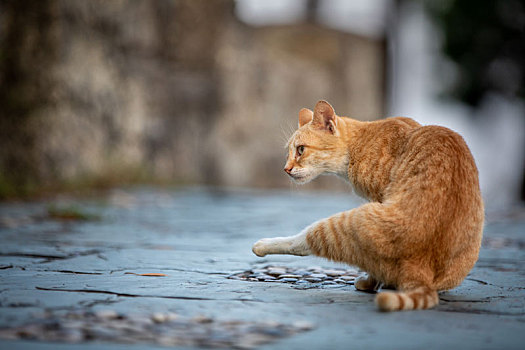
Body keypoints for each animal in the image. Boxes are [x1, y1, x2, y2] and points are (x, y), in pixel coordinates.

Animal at [252, 100, 486, 312]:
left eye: (300, 150)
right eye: (289, 152)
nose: (286, 169)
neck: (359, 143)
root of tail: (422, 267)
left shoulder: (378, 198)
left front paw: (370, 283)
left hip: (345, 222)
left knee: (301, 242)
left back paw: (262, 245)